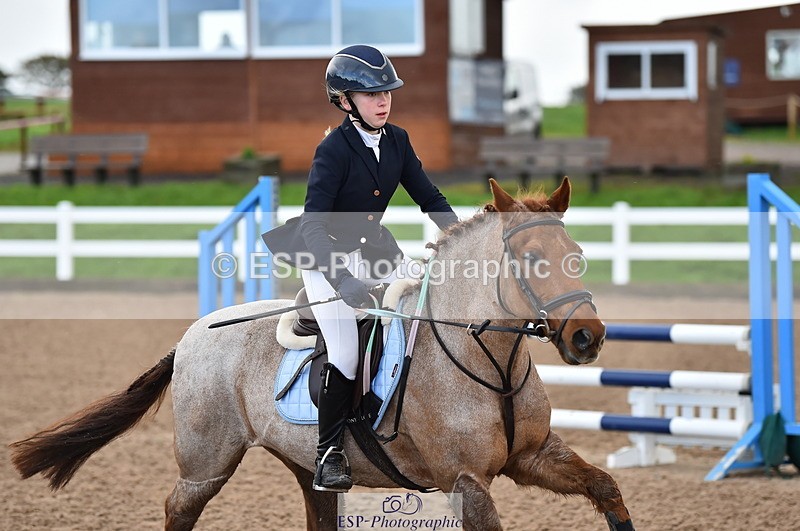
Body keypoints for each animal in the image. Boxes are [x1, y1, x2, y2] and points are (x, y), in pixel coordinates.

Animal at [10, 178, 634, 531]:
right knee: (177, 509)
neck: (489, 360)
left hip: (305, 468)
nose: (587, 337)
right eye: (529, 258)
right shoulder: (465, 482)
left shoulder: (533, 458)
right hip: (205, 466)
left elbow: (607, 489)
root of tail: (191, 336)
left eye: (577, 253)